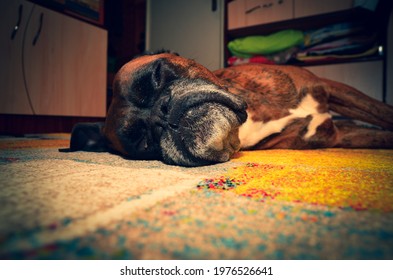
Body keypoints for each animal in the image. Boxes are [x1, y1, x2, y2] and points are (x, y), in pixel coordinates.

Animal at [67, 51, 392, 166]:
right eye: (145, 142)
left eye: (157, 74)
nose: (164, 111)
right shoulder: (336, 135)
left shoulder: (331, 89)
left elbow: (384, 113)